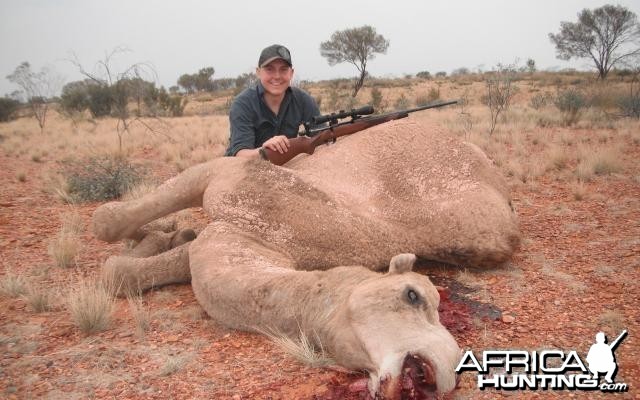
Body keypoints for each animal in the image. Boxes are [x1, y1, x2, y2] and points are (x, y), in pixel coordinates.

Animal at [94, 120, 520, 398]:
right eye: (413, 295)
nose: (450, 372)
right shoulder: (229, 179)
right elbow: (110, 223)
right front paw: (155, 234)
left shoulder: (232, 238)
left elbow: (122, 271)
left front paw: (158, 238)